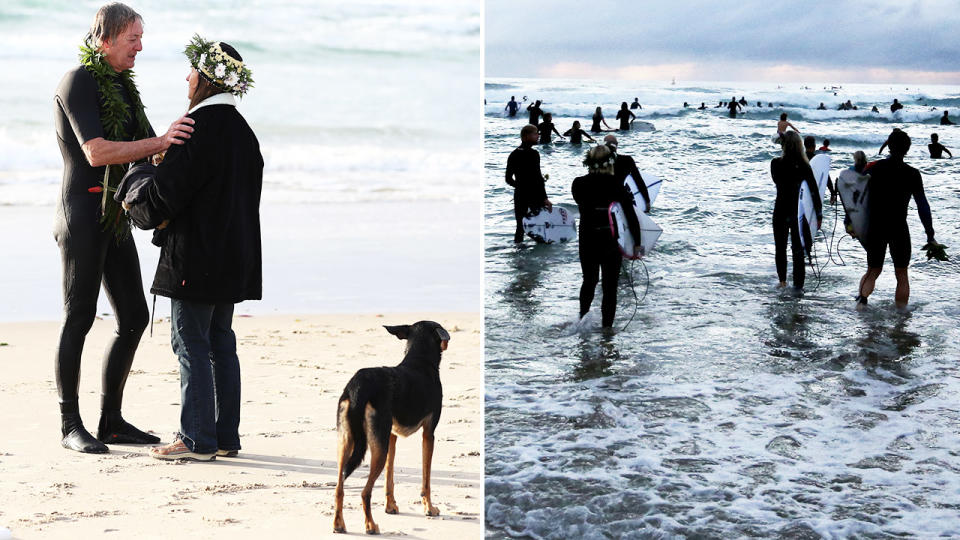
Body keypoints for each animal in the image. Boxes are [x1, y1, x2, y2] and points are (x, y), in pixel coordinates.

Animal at [334, 320, 450, 536]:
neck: (419, 360)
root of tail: (358, 387)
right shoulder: (429, 434)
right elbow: (426, 480)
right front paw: (429, 508)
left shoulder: (391, 436)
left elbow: (389, 477)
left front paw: (391, 507)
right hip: (377, 447)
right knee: (365, 492)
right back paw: (371, 526)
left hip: (347, 442)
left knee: (339, 488)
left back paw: (339, 524)